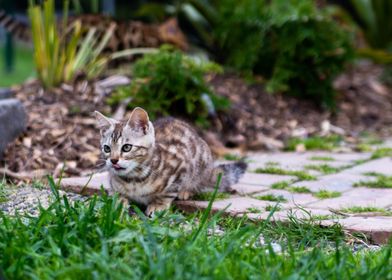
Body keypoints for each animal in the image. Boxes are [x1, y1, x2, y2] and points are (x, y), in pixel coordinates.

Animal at [95, 108, 247, 215]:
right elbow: (116, 193)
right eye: (107, 148)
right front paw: (118, 203)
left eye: (127, 147)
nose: (113, 160)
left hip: (202, 160)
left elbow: (168, 192)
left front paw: (158, 205)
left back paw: (186, 191)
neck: (133, 179)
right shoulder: (113, 182)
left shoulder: (181, 166)